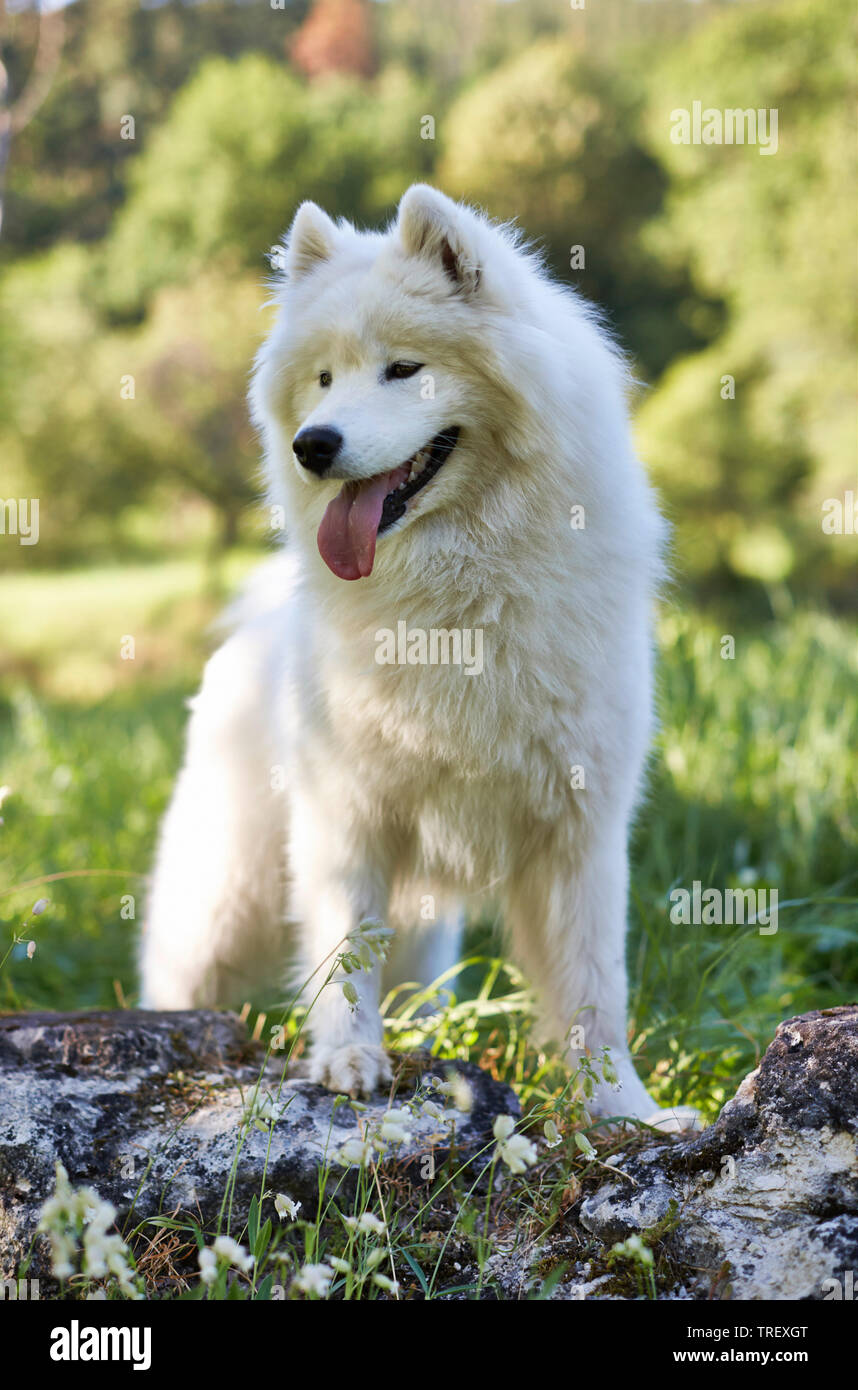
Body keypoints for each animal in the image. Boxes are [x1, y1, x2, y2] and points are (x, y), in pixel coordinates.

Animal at [139, 179, 681, 1123]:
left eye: (404, 369)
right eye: (323, 377)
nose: (312, 444)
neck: (458, 593)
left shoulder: (579, 831)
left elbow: (594, 990)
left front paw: (623, 1110)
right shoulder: (345, 817)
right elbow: (342, 953)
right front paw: (349, 1063)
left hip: (424, 929)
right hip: (224, 900)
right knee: (181, 976)